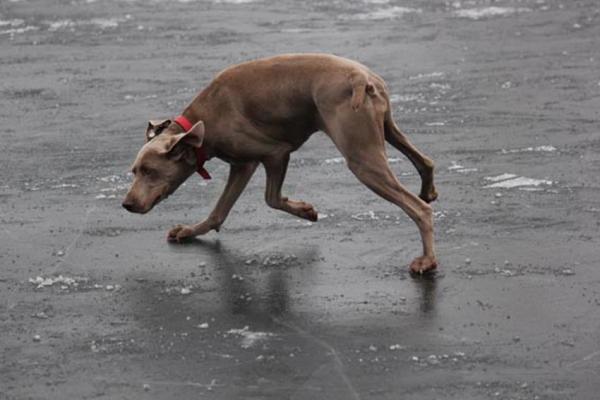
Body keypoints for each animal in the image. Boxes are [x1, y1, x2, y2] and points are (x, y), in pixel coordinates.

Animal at [123, 53, 440, 274]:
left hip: (361, 157)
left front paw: (306, 211)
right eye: (134, 171)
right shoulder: (247, 163)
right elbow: (219, 212)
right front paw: (189, 231)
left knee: (418, 209)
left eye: (149, 171)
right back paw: (429, 191)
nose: (126, 204)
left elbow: (269, 198)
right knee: (425, 161)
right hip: (384, 129)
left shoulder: (269, 155)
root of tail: (360, 77)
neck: (203, 121)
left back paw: (427, 260)